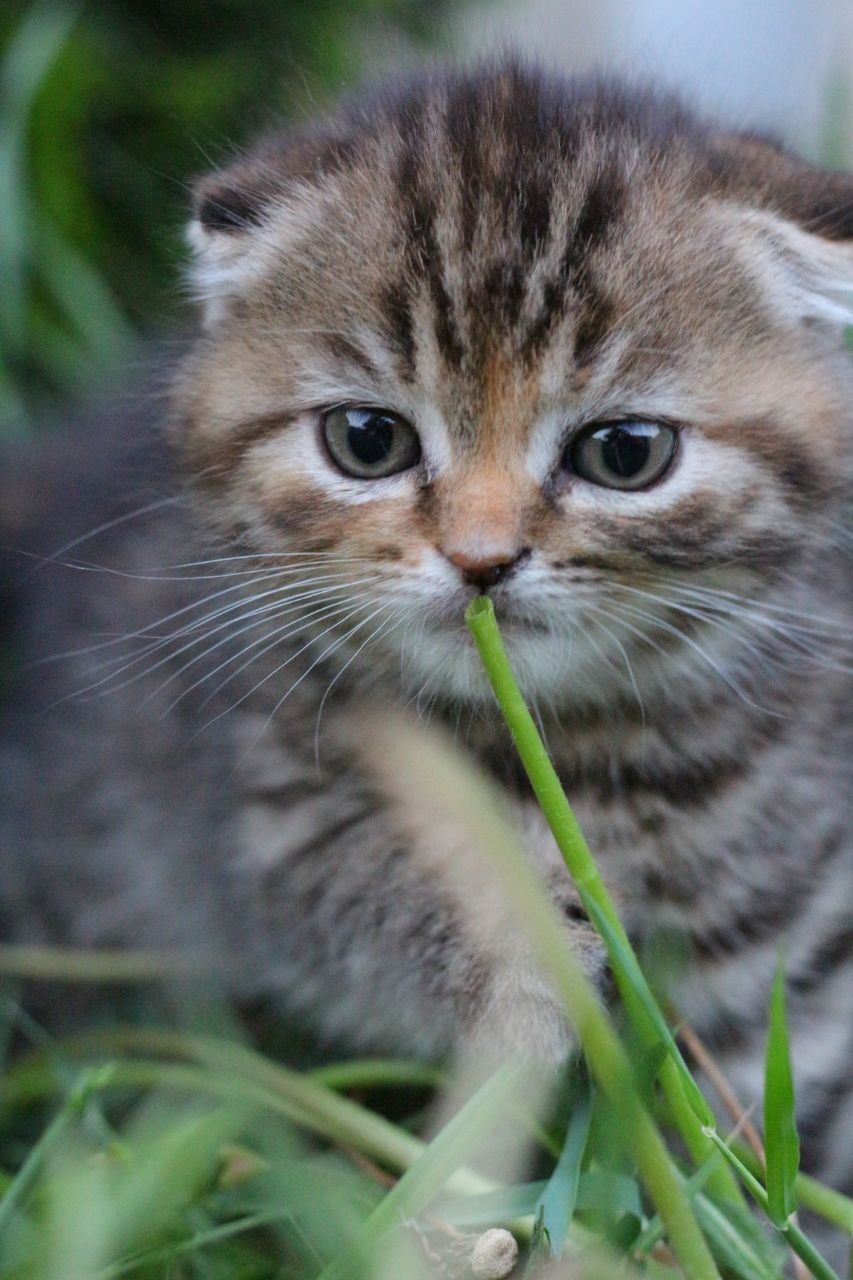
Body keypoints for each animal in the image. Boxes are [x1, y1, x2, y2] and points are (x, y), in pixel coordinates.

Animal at [1, 60, 850, 1192]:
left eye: (625, 451)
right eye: (368, 439)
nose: (481, 559)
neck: (572, 741)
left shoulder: (784, 905)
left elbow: (782, 1106)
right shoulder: (270, 811)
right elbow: (375, 881)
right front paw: (530, 929)